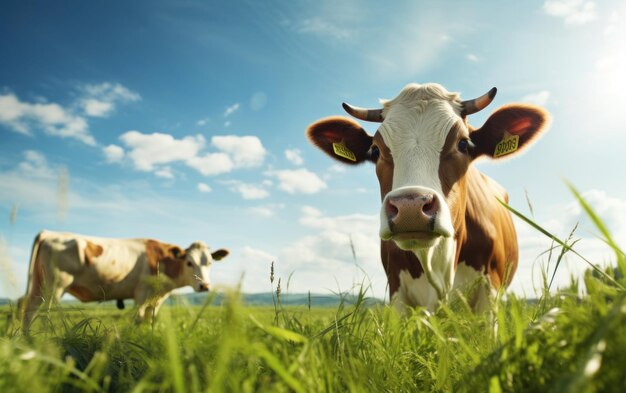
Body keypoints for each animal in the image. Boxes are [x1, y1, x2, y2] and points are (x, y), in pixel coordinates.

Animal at [18, 228, 229, 330]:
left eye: (210, 262)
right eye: (189, 263)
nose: (204, 285)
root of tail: (48, 232)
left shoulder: (156, 299)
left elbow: (149, 320)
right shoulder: (141, 294)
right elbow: (139, 318)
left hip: (39, 285)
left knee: (28, 310)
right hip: (55, 287)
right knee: (45, 313)